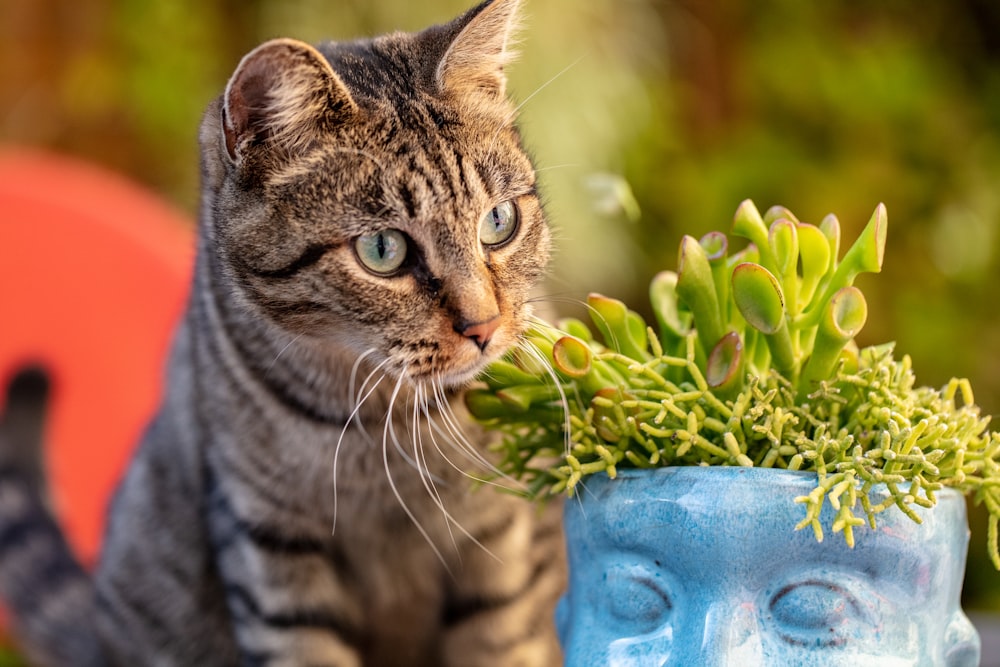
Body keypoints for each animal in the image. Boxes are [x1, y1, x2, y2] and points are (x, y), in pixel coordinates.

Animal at [0, 0, 568, 664]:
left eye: (498, 222)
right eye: (383, 250)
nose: (484, 327)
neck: (379, 426)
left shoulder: (500, 543)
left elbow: (502, 639)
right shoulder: (268, 548)